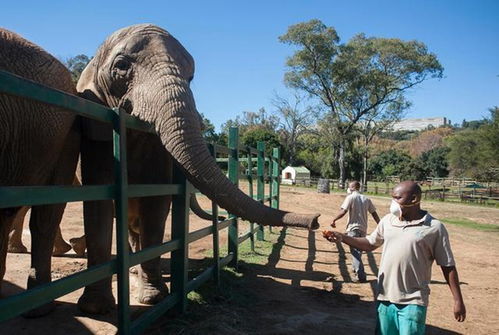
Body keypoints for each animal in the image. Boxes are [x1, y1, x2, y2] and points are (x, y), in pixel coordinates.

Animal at [76, 24, 322, 316]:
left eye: (191, 77)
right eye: (122, 66)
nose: (317, 220)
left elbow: (156, 205)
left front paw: (152, 298)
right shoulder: (96, 130)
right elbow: (98, 202)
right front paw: (94, 308)